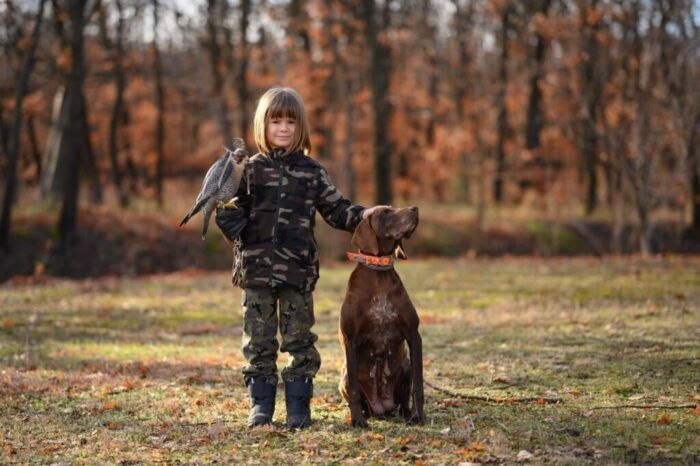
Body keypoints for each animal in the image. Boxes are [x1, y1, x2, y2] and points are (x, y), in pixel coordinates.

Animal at [338, 206, 422, 428]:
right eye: (385, 212)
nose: (415, 208)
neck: (379, 272)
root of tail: (381, 407)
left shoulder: (413, 334)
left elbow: (418, 385)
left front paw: (418, 416)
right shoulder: (350, 339)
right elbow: (355, 392)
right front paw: (357, 421)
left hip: (406, 365)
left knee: (403, 401)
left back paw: (407, 414)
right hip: (345, 375)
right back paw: (363, 415)